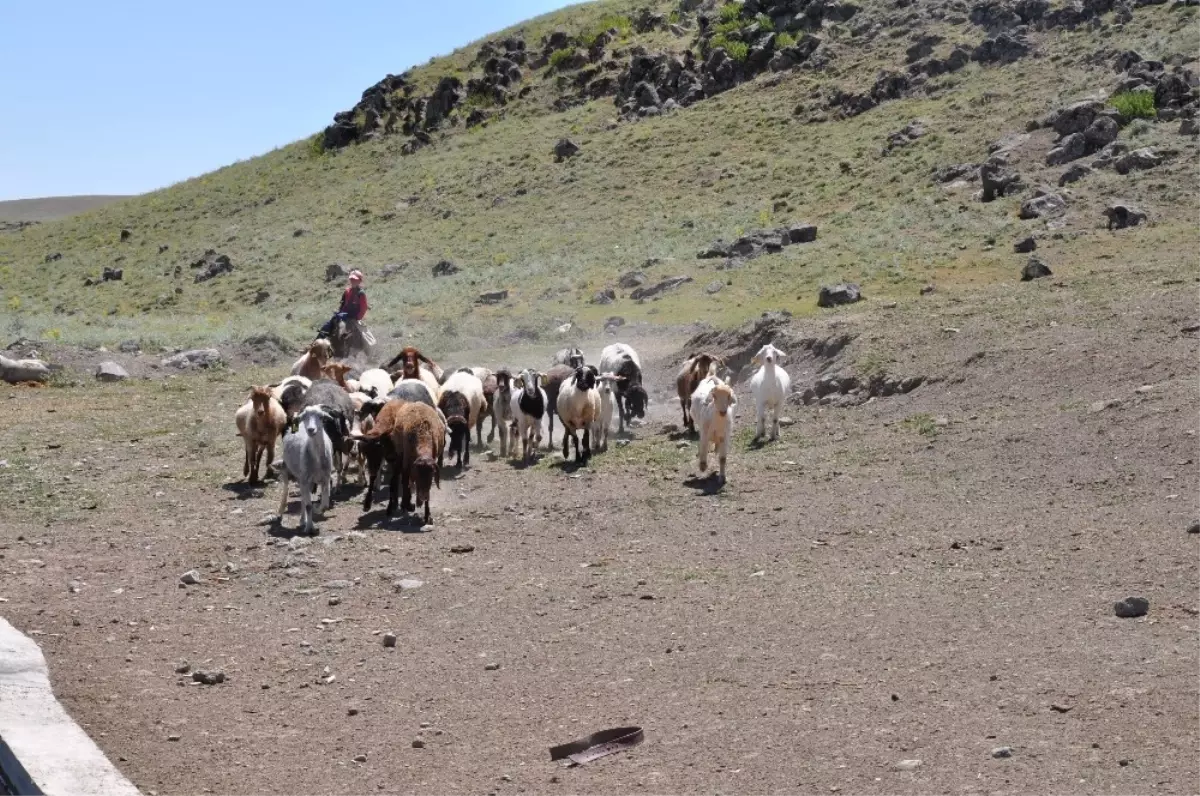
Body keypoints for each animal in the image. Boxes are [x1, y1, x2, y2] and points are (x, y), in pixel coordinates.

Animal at [277, 405, 336, 535]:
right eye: (304, 417)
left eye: (321, 417)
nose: (311, 430)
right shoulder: (305, 479)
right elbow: (308, 505)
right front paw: (310, 527)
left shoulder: (325, 479)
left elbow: (325, 504)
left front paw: (317, 510)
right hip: (291, 472)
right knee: (286, 491)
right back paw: (281, 511)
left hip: (305, 479)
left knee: (303, 499)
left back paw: (302, 520)